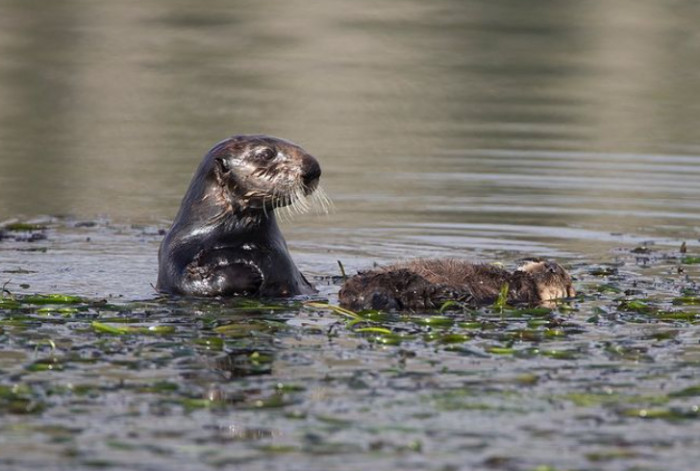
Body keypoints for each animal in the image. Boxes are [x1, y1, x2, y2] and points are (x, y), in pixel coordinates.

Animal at [157, 135, 324, 297]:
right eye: (266, 154)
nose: (313, 168)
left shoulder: (280, 259)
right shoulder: (173, 255)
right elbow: (185, 284)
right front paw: (246, 274)